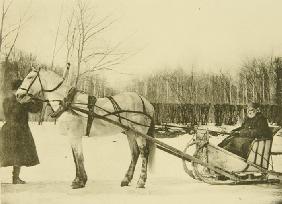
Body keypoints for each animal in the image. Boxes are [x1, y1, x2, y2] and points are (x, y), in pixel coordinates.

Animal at [15, 65, 155, 188]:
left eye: (30, 77)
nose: (18, 95)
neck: (68, 103)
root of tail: (146, 102)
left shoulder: (75, 135)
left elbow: (79, 158)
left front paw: (80, 182)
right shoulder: (72, 137)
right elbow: (75, 158)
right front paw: (79, 179)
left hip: (139, 132)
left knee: (144, 153)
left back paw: (141, 181)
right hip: (130, 132)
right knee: (135, 153)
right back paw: (126, 179)